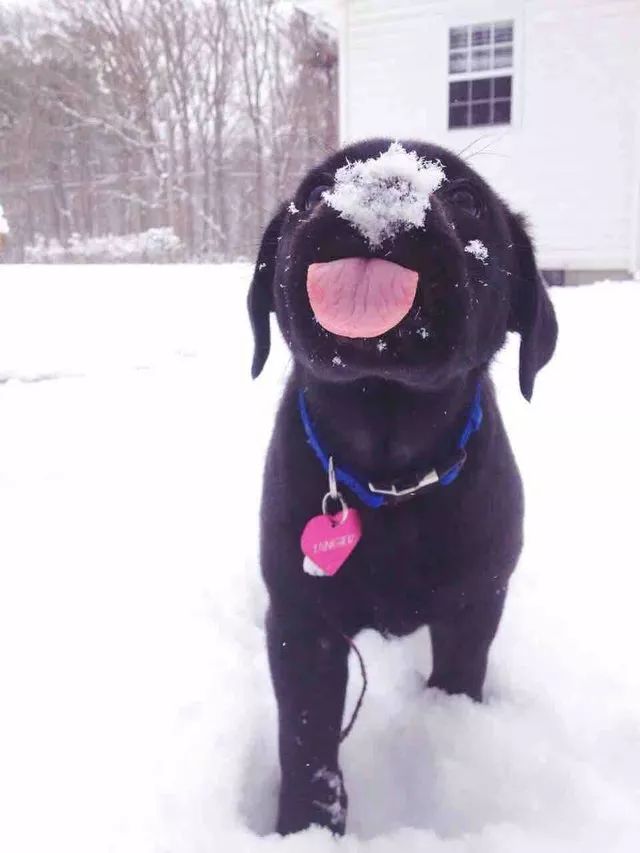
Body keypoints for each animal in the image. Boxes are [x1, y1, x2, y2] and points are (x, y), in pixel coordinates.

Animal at [248, 138, 556, 832]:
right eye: (314, 192)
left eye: (466, 197)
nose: (382, 180)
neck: (389, 476)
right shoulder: (302, 622)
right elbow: (306, 740)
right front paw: (306, 828)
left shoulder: (475, 604)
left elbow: (459, 677)